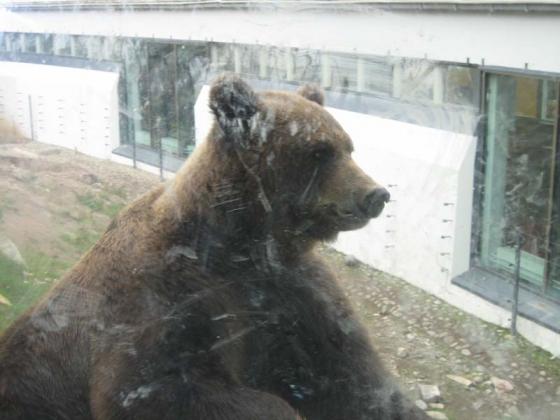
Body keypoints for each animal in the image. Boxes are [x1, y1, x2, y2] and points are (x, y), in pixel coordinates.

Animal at [0, 74, 424, 418]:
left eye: (348, 146)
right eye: (319, 151)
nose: (376, 194)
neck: (246, 244)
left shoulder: (293, 292)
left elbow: (348, 374)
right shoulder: (167, 296)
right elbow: (151, 387)